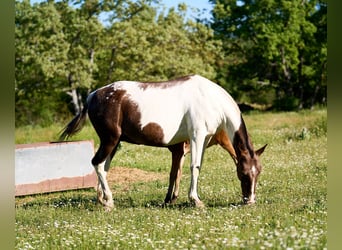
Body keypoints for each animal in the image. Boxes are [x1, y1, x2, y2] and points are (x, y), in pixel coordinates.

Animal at [58, 74, 268, 211]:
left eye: (258, 173)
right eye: (244, 174)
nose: (250, 200)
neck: (210, 99)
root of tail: (93, 95)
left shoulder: (205, 138)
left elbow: (195, 168)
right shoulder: (197, 136)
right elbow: (194, 167)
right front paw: (195, 200)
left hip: (114, 143)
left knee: (103, 167)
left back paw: (104, 200)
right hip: (110, 140)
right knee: (97, 164)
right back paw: (108, 201)